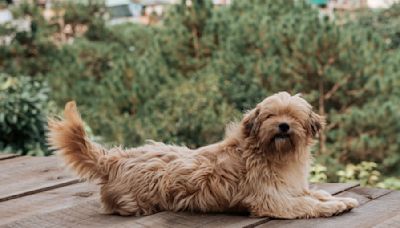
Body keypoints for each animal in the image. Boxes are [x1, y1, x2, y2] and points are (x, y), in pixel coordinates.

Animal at [48, 91, 358, 219]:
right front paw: (332, 206)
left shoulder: (291, 188)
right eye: (271, 115)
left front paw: (339, 199)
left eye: (293, 116)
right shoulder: (273, 199)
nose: (283, 125)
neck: (272, 154)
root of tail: (114, 159)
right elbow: (306, 204)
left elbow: (314, 194)